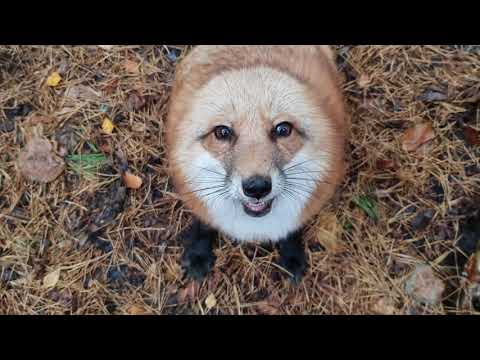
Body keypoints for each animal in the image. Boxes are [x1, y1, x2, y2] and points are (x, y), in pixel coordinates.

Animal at [167, 44, 346, 282]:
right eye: (222, 132)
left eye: (283, 129)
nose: (257, 187)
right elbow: (204, 222)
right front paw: (198, 252)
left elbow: (292, 229)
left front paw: (291, 255)